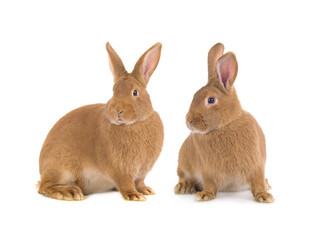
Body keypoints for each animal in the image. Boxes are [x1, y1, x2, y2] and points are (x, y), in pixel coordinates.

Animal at [38, 42, 165, 201]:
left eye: (135, 92)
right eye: (114, 91)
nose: (117, 111)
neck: (133, 124)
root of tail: (41, 166)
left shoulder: (142, 172)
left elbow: (140, 182)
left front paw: (146, 190)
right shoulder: (120, 169)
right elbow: (126, 183)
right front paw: (134, 196)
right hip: (63, 166)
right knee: (44, 186)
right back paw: (71, 192)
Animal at [175, 42, 276, 202]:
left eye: (211, 100)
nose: (189, 121)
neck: (225, 126)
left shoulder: (257, 165)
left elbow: (258, 181)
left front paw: (264, 196)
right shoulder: (207, 170)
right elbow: (209, 183)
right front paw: (205, 195)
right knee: (182, 175)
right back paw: (184, 187)